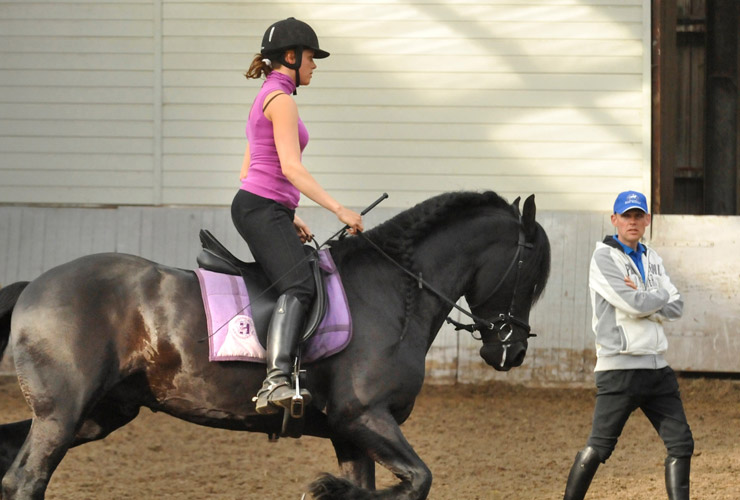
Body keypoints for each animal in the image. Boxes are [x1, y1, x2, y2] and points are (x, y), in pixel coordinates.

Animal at [0, 191, 548, 500]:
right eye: (531, 272)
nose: (510, 352)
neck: (394, 291)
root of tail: (33, 287)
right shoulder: (363, 417)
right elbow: (417, 481)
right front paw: (325, 489)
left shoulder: (351, 434)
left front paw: (333, 489)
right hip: (64, 413)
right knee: (27, 481)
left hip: (98, 413)